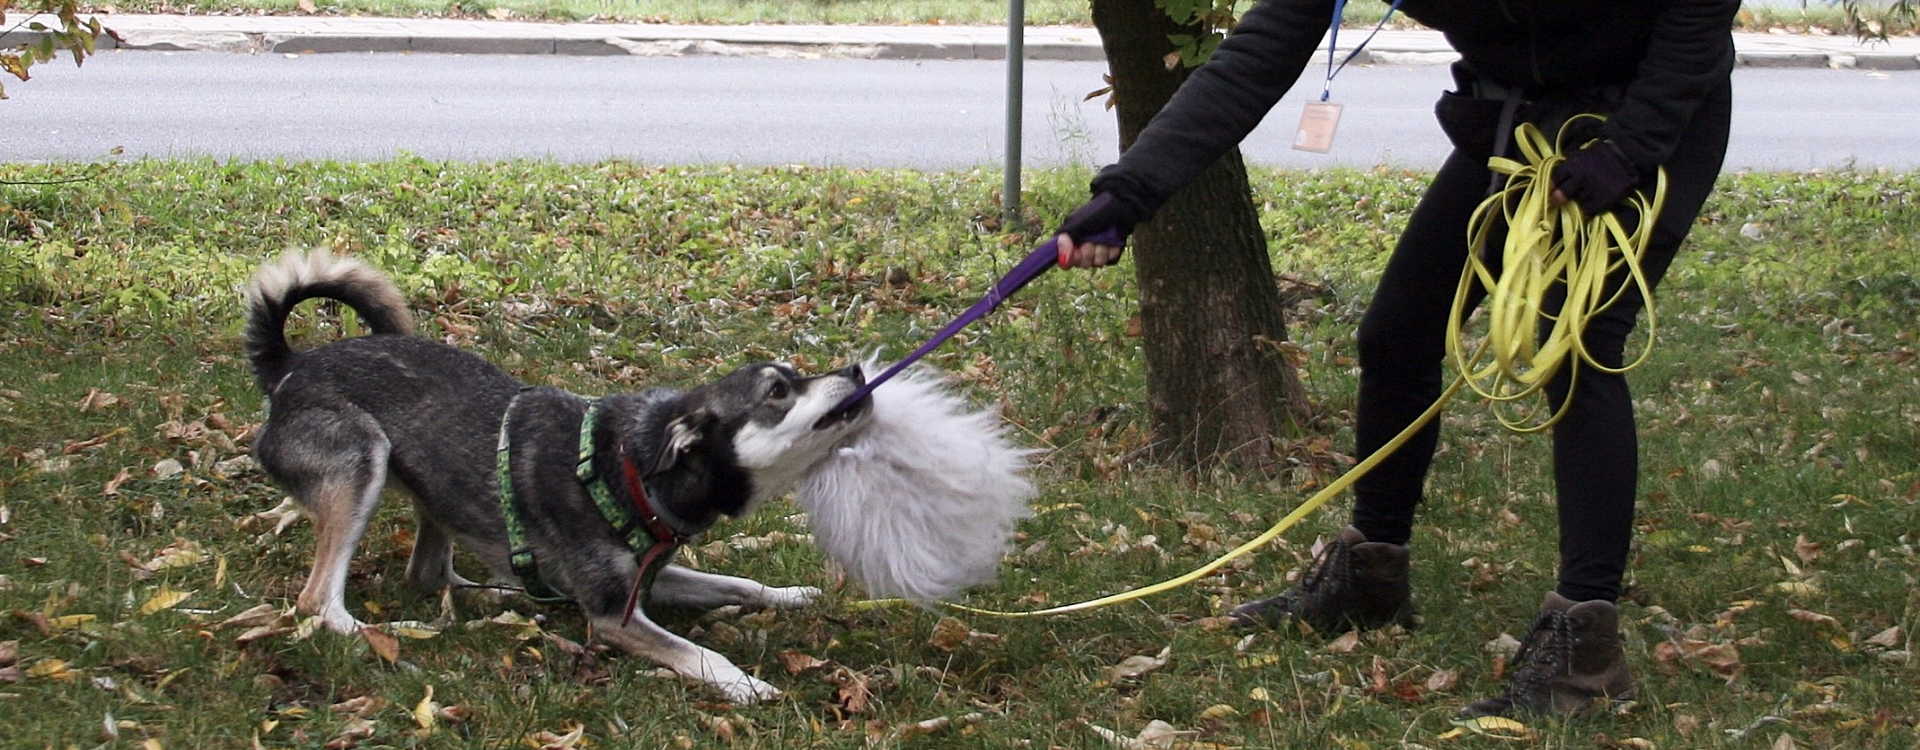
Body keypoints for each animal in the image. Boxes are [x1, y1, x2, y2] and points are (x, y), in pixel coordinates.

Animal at [241, 253, 871, 705]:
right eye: (778, 390)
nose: (856, 370)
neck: (633, 473)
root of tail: (290, 367)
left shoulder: (648, 582)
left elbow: (741, 584)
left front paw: (790, 595)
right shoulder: (612, 616)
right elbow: (698, 653)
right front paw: (744, 684)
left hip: (431, 486)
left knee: (428, 573)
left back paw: (499, 594)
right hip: (361, 463)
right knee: (318, 601)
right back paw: (388, 632)